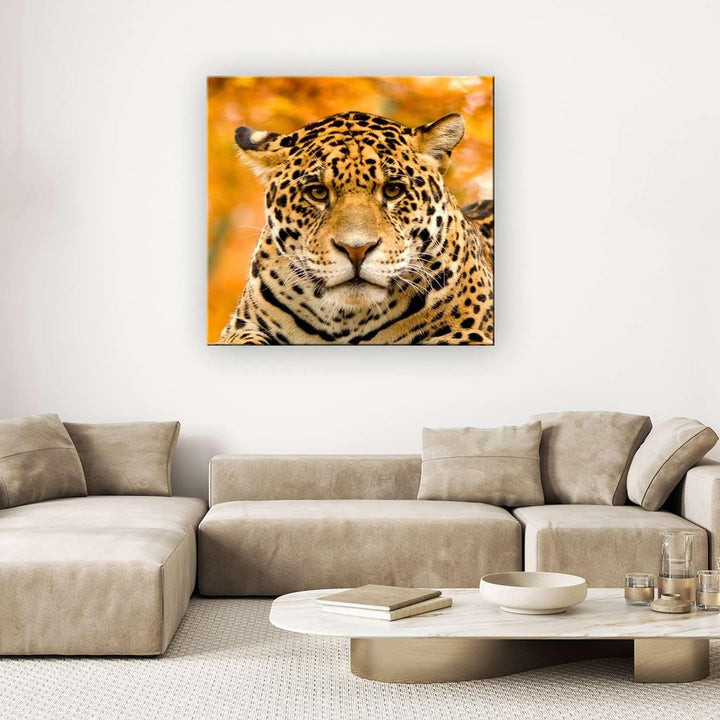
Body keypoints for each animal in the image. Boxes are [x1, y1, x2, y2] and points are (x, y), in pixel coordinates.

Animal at [217, 110, 494, 345]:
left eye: (393, 190)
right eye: (317, 192)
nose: (356, 250)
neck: (348, 320)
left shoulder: (470, 334)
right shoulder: (239, 327)